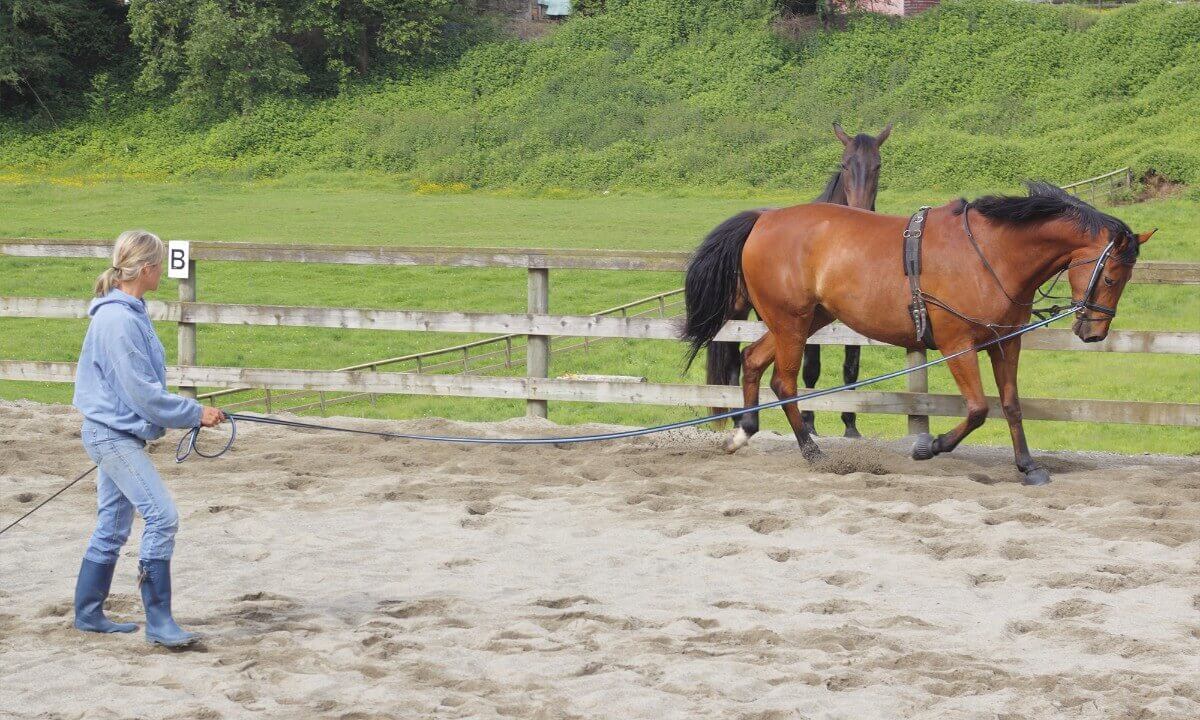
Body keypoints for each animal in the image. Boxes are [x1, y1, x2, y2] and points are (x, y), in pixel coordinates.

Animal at [683, 182, 1153, 485]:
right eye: (1112, 275)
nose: (1093, 332)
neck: (991, 253)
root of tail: (765, 218)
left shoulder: (1004, 342)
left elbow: (1011, 406)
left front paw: (1028, 466)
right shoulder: (958, 346)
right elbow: (978, 409)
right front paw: (930, 447)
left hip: (803, 320)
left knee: (753, 362)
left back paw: (744, 432)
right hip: (791, 323)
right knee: (783, 381)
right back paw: (812, 452)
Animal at [705, 122, 891, 439]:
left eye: (877, 165)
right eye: (845, 164)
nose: (860, 209)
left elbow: (851, 370)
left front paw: (850, 425)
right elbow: (811, 369)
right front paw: (809, 422)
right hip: (737, 311)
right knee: (732, 359)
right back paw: (737, 417)